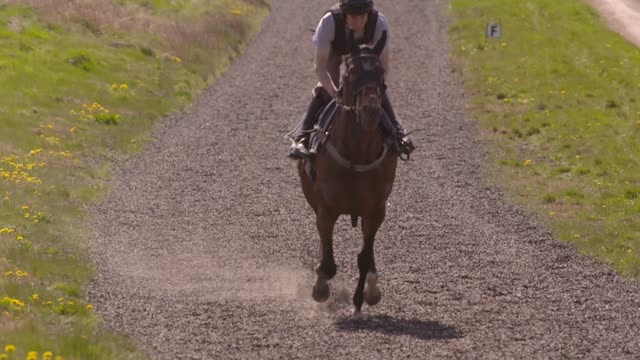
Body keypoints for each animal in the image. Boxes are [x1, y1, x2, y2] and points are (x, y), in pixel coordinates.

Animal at [298, 31, 398, 318]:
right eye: (352, 72)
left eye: (380, 71)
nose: (371, 111)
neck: (357, 154)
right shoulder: (326, 208)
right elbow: (328, 262)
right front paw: (320, 288)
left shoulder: (376, 209)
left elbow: (363, 257)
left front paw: (359, 301)